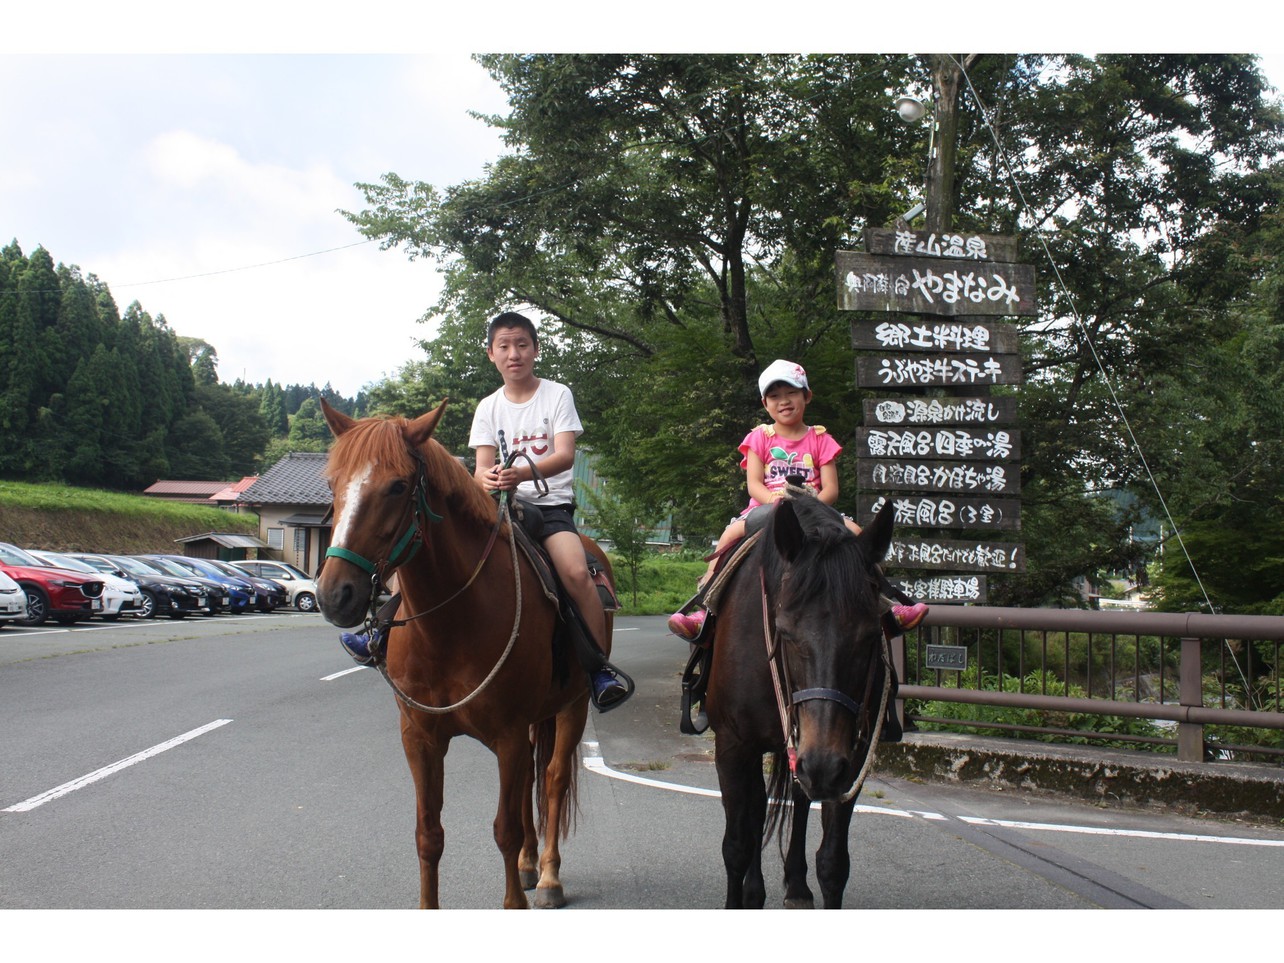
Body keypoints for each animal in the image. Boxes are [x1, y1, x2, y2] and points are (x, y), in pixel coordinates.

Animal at [313, 400, 608, 914]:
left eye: (398, 486)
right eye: (333, 484)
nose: (334, 595)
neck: (449, 629)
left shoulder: (508, 735)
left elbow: (505, 830)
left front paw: (516, 901)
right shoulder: (420, 738)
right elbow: (429, 835)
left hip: (571, 706)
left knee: (551, 781)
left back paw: (548, 876)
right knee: (532, 781)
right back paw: (530, 866)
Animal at [703, 493, 893, 909]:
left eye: (872, 635)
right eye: (786, 632)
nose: (822, 763)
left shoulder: (851, 756)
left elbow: (833, 863)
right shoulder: (733, 745)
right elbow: (737, 843)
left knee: (798, 801)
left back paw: (796, 886)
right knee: (757, 809)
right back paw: (756, 890)